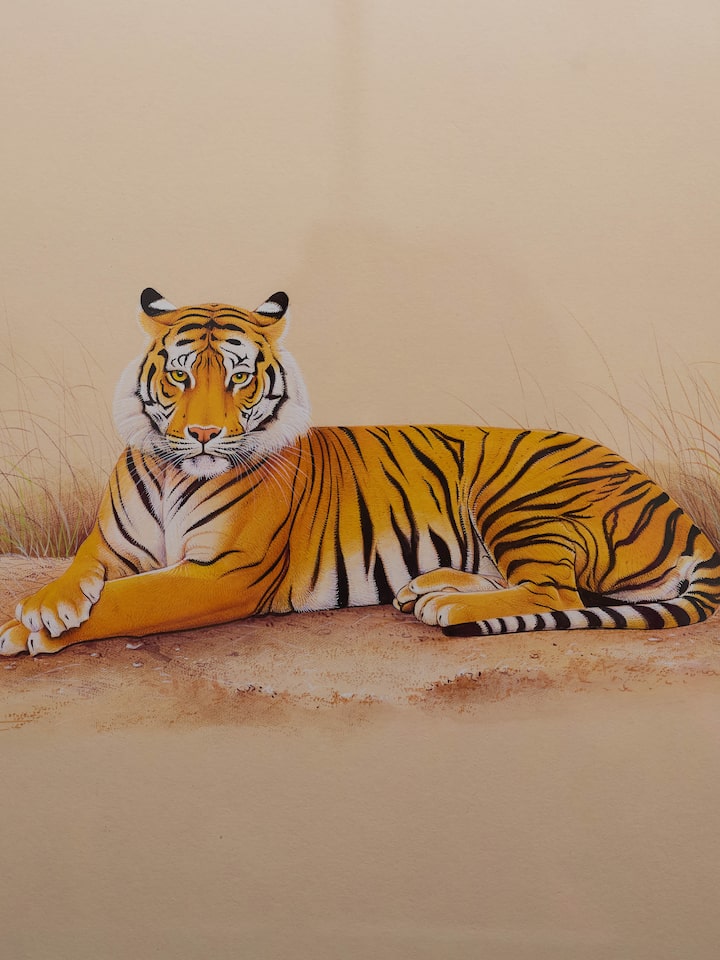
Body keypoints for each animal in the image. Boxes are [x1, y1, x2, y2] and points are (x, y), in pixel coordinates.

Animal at [1, 288, 719, 657]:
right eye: (180, 375)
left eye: (238, 377)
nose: (203, 434)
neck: (176, 472)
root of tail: (681, 513)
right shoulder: (111, 546)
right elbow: (82, 572)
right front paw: (41, 607)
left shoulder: (223, 573)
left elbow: (128, 600)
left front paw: (25, 627)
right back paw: (427, 587)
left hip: (517, 491)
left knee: (557, 592)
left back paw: (448, 605)